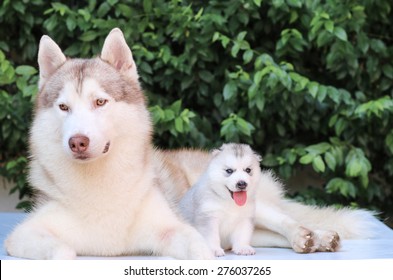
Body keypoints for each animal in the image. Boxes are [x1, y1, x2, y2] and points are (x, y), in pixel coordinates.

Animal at [5, 27, 374, 258]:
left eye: (100, 102)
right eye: (63, 107)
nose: (77, 142)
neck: (100, 186)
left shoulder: (173, 229)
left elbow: (198, 248)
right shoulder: (21, 236)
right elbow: (63, 250)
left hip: (251, 201)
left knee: (286, 220)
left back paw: (312, 236)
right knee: (265, 235)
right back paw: (309, 242)